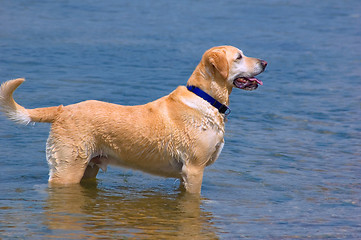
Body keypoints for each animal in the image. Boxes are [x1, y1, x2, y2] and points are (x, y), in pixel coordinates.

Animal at [0, 46, 264, 194]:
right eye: (239, 57)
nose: (265, 62)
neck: (206, 98)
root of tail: (62, 110)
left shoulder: (186, 175)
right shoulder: (194, 169)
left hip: (88, 168)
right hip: (67, 168)